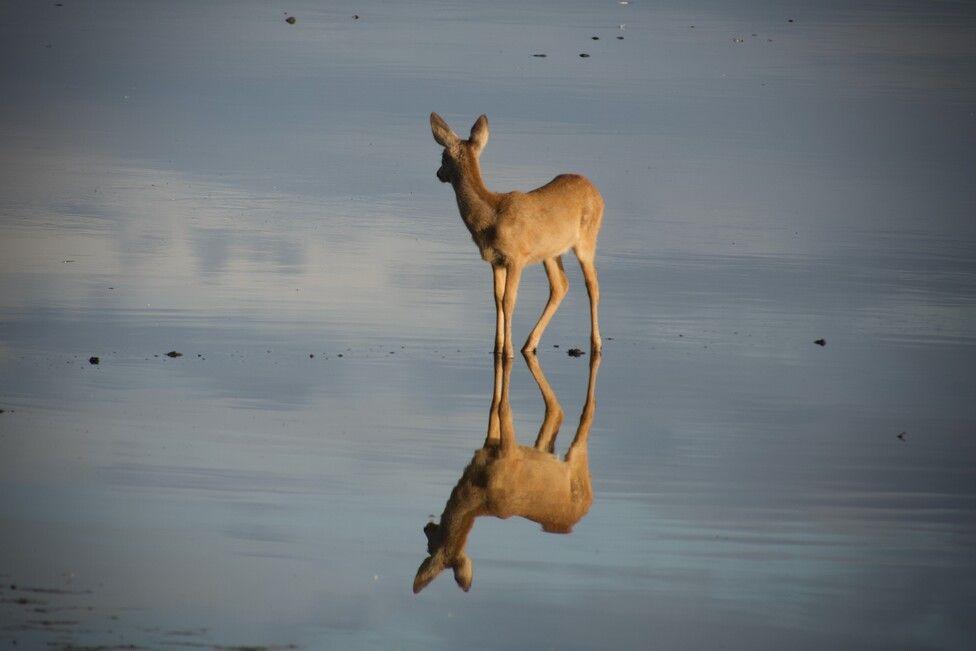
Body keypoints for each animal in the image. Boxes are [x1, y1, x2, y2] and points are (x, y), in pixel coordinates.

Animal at [410, 352, 600, 596]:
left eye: (430, 546)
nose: (426, 528)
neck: (478, 489)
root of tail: (588, 503)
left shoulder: (509, 452)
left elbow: (503, 407)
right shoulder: (489, 447)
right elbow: (494, 407)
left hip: (578, 459)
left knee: (588, 415)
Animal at [432, 112, 608, 356]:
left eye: (442, 156)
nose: (438, 173)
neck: (490, 216)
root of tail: (597, 192)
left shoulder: (516, 257)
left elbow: (509, 300)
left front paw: (508, 351)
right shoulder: (495, 260)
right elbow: (497, 299)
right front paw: (497, 348)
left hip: (587, 240)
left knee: (593, 285)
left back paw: (596, 343)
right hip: (550, 253)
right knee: (560, 285)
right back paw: (530, 343)